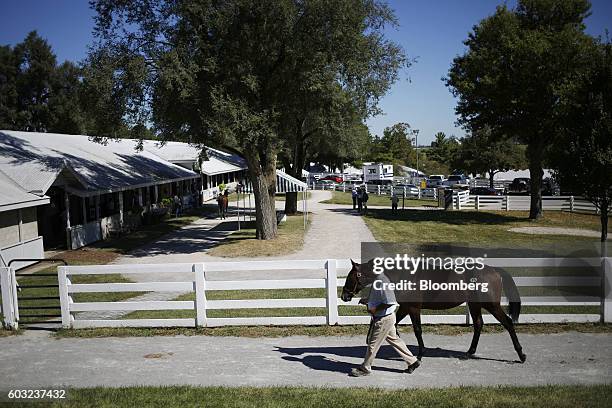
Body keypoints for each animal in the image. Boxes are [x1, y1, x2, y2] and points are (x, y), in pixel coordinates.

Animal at [340, 260, 524, 362]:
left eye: (350, 277)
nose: (344, 296)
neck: (404, 274)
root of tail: (494, 270)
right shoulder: (405, 307)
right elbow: (395, 325)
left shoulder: (413, 308)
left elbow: (417, 330)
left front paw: (420, 354)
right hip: (474, 305)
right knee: (478, 324)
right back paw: (469, 352)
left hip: (491, 305)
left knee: (508, 323)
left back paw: (521, 355)